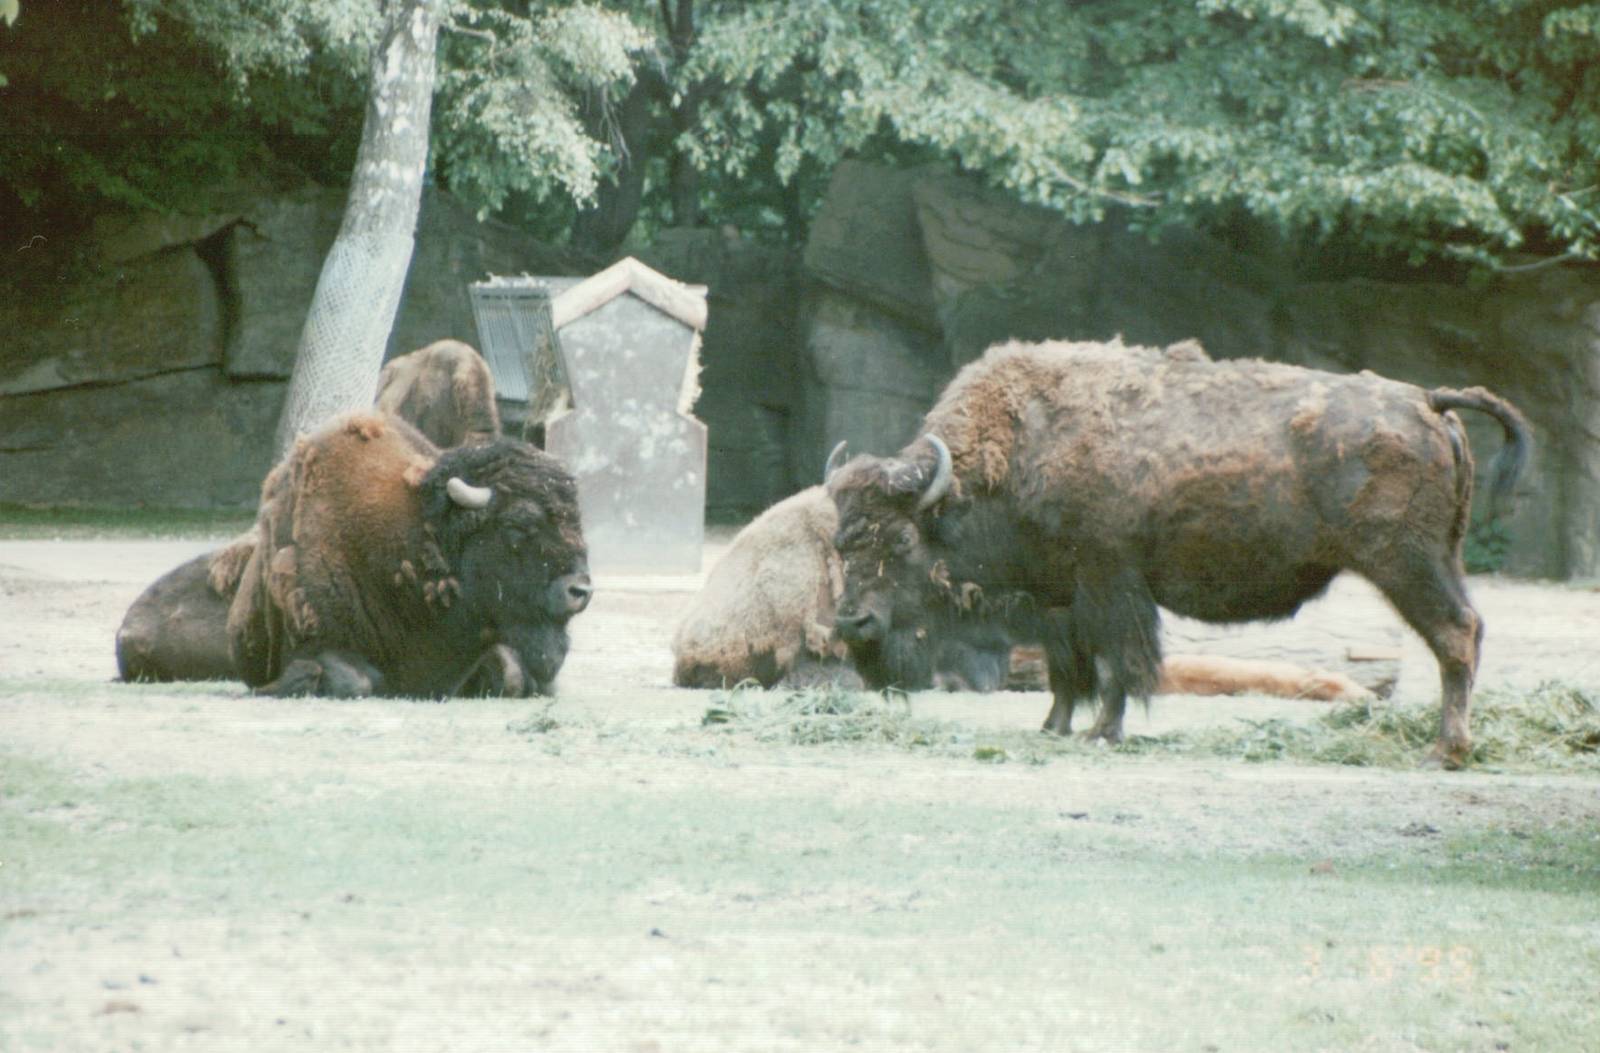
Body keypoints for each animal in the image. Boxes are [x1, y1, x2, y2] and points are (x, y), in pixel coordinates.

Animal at [227, 412, 591, 697]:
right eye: (518, 524)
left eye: (577, 521)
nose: (581, 590)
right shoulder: (317, 640)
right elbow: (355, 681)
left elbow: (512, 676)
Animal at [827, 338, 1530, 767]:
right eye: (839, 539)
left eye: (901, 538)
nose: (852, 622)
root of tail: (1427, 400)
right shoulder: (1060, 598)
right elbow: (1068, 670)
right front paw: (1054, 726)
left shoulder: (1109, 584)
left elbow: (1118, 666)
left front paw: (1102, 733)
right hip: (1438, 559)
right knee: (1466, 631)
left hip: (1407, 564)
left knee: (1456, 635)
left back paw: (1445, 751)